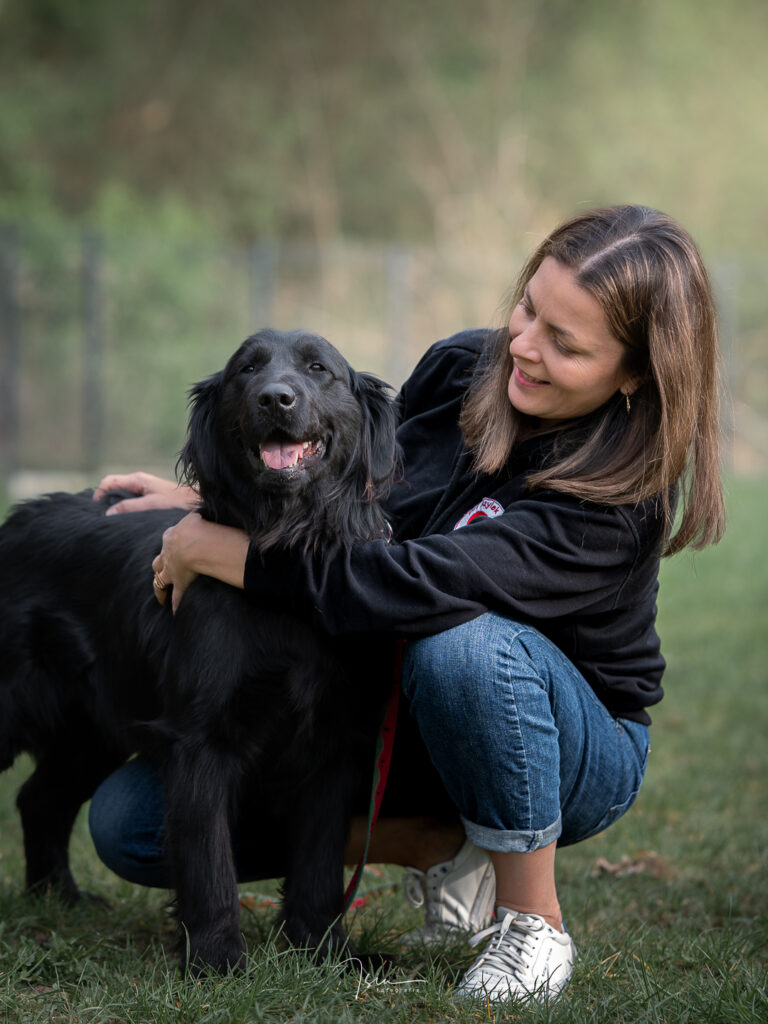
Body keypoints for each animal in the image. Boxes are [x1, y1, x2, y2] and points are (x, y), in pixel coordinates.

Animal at [0, 328, 398, 973]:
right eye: (246, 371)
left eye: (319, 368)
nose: (276, 398)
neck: (282, 558)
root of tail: (15, 519)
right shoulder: (200, 741)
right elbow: (210, 864)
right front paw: (216, 962)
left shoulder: (333, 745)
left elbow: (317, 868)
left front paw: (322, 951)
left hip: (89, 731)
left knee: (38, 800)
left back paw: (58, 900)